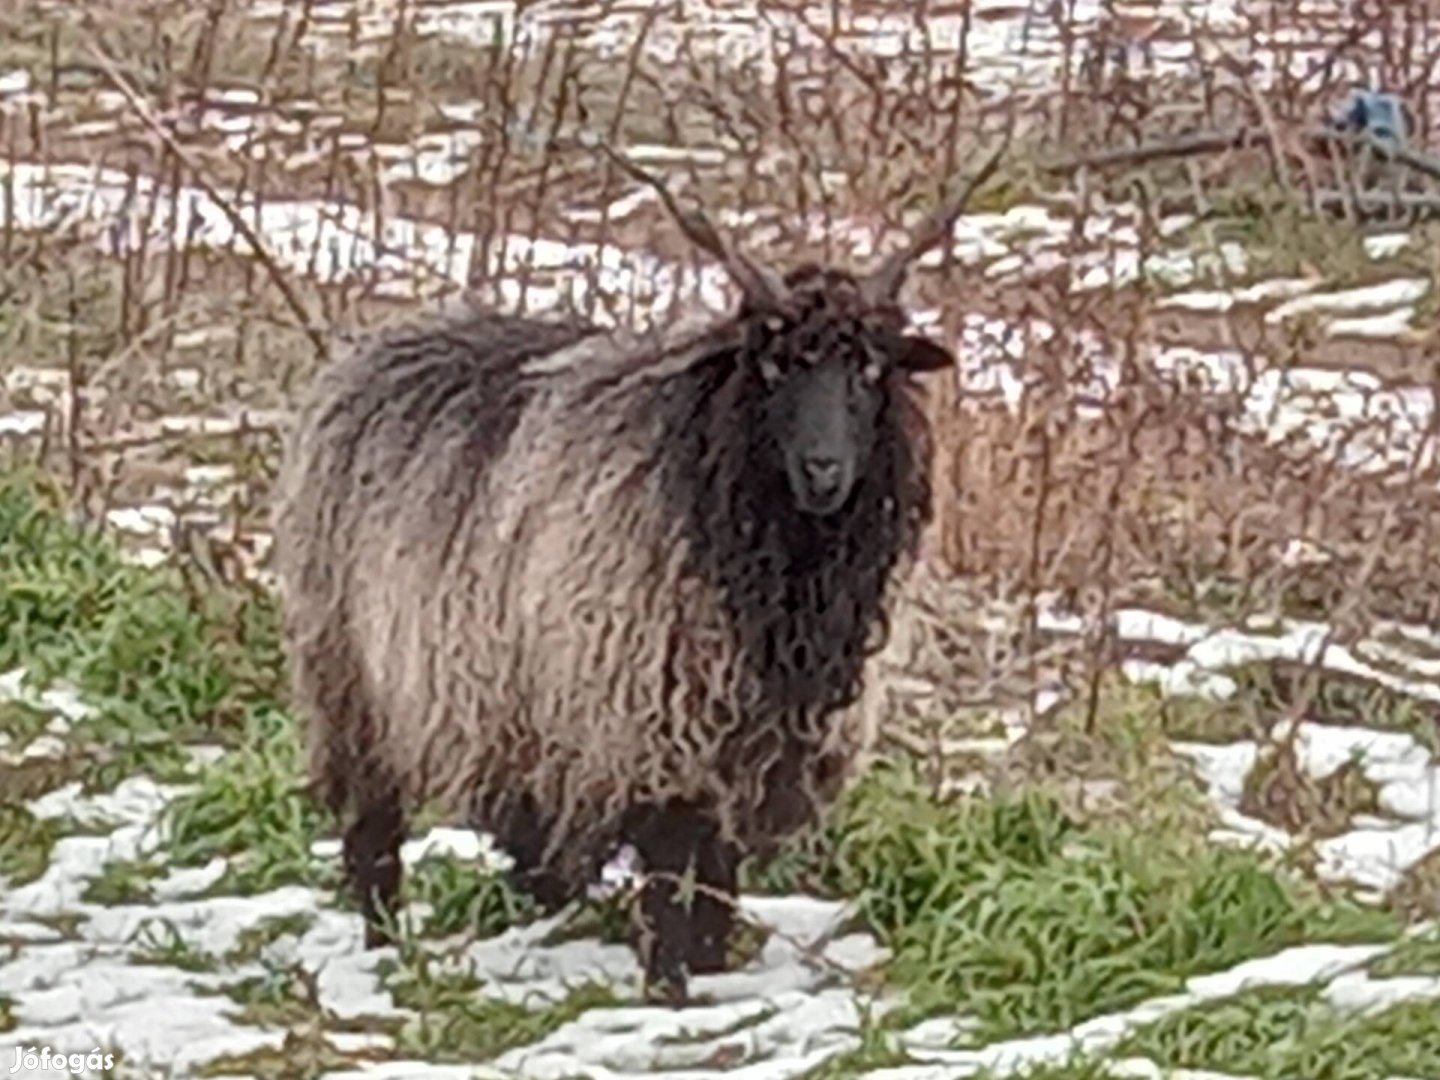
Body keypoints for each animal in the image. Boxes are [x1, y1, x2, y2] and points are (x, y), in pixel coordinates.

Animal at [272, 144, 1002, 1008]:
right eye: (773, 367)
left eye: (868, 370)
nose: (825, 471)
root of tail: (371, 349)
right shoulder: (654, 723)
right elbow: (668, 868)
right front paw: (670, 992)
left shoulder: (747, 744)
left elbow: (718, 873)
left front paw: (712, 972)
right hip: (356, 680)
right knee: (373, 834)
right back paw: (384, 953)